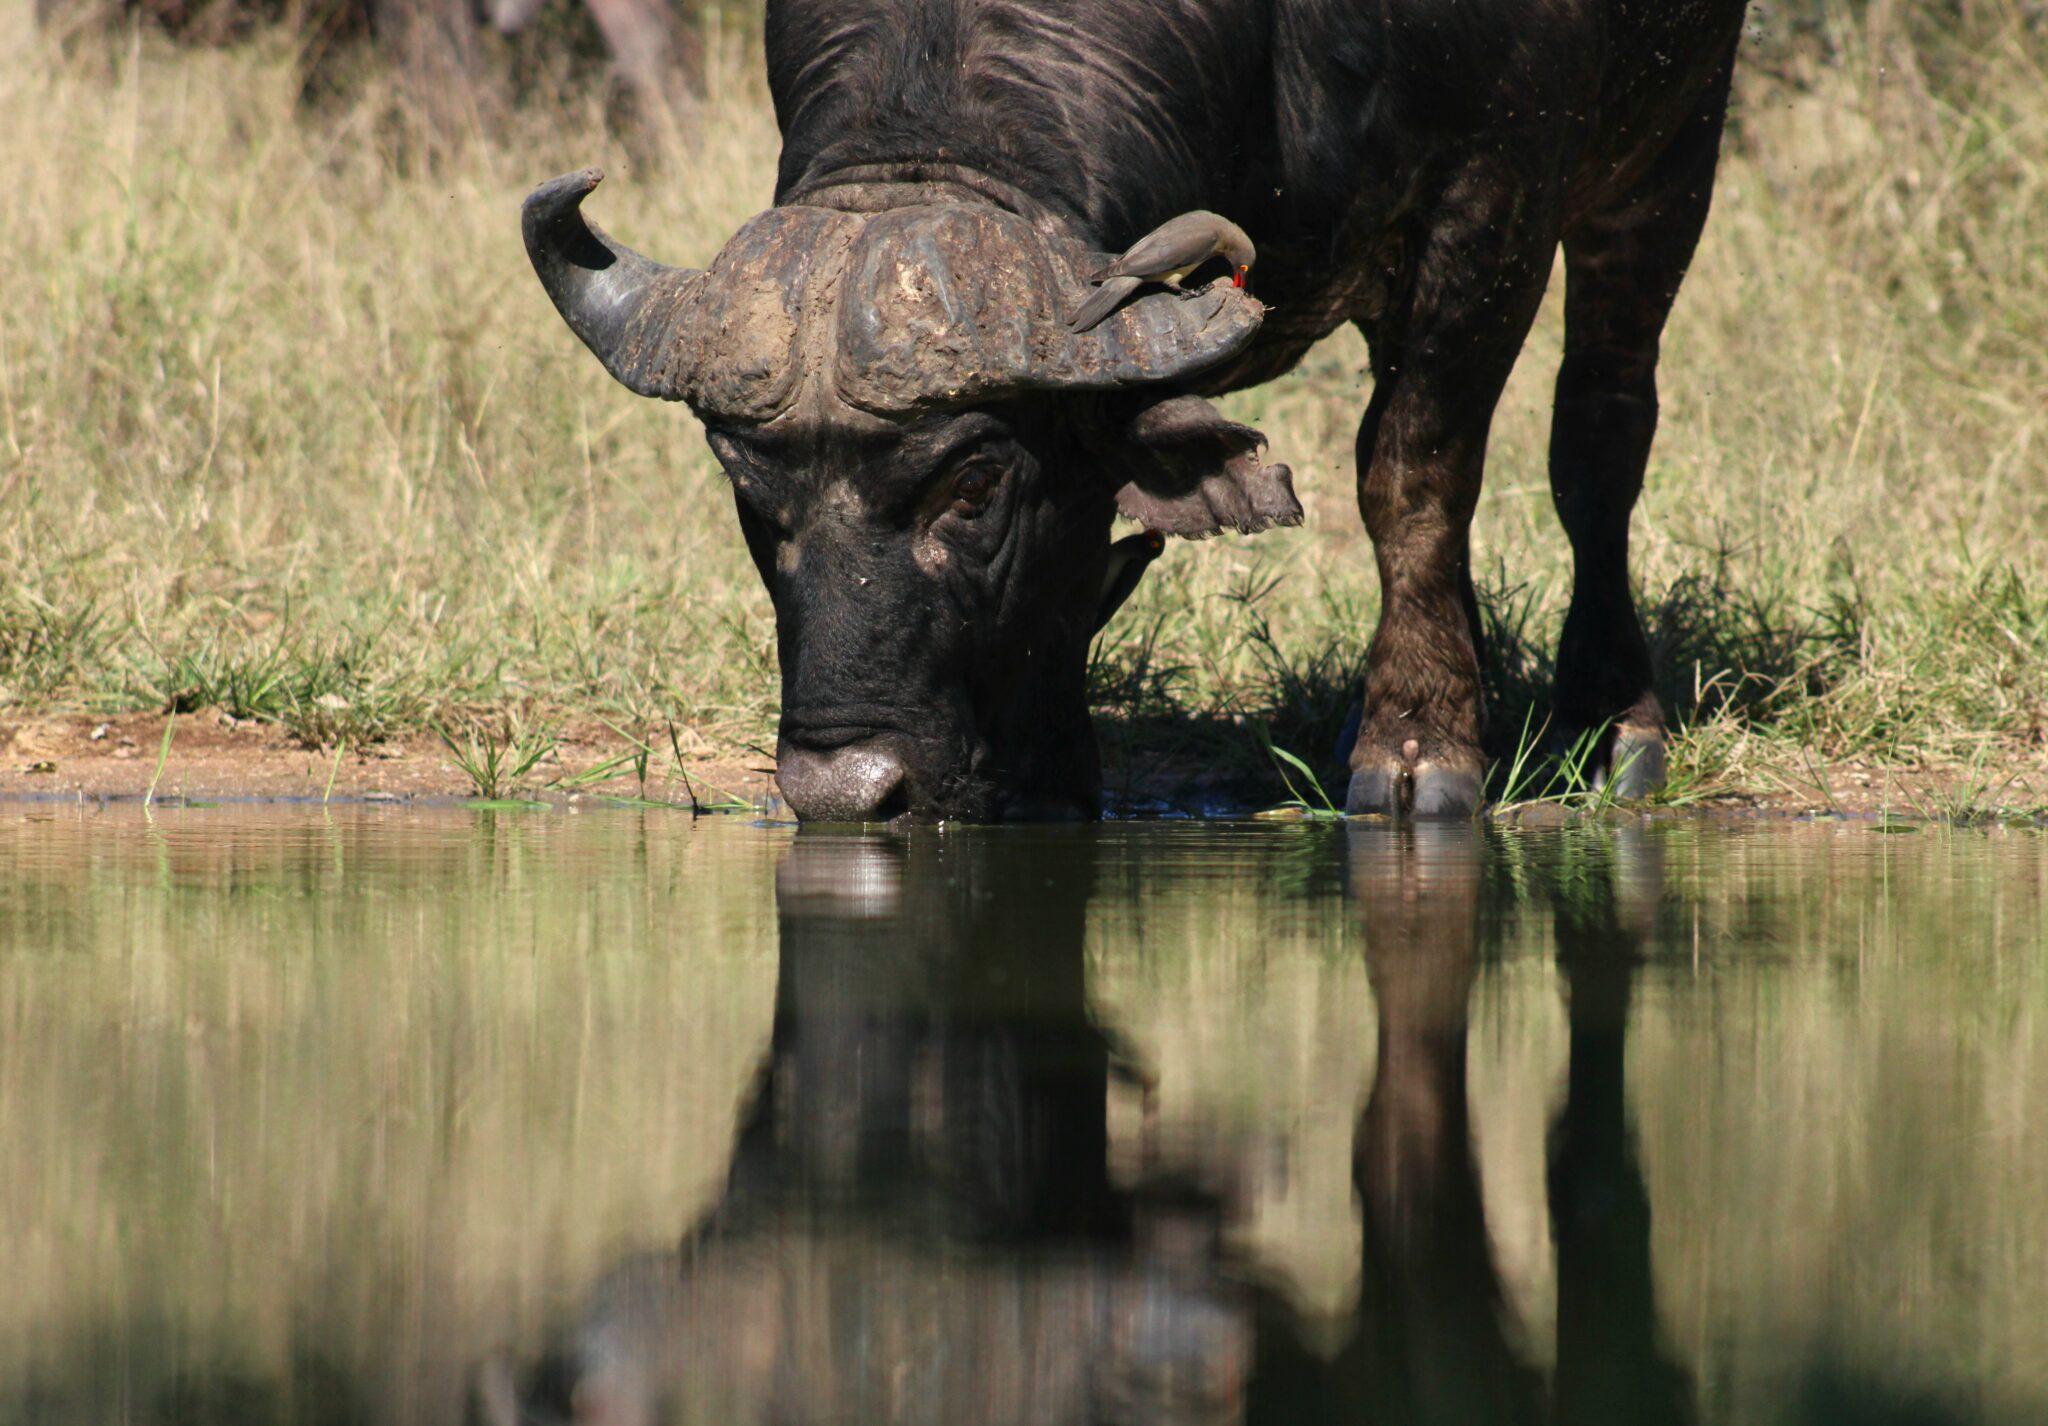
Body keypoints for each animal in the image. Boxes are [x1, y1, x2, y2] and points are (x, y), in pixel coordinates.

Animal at [525, 0, 1751, 821]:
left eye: (974, 482)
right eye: (749, 493)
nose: (842, 791)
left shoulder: (1487, 201)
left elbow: (1412, 476)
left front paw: (1419, 745)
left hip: (1669, 154)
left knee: (1599, 432)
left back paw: (1609, 722)